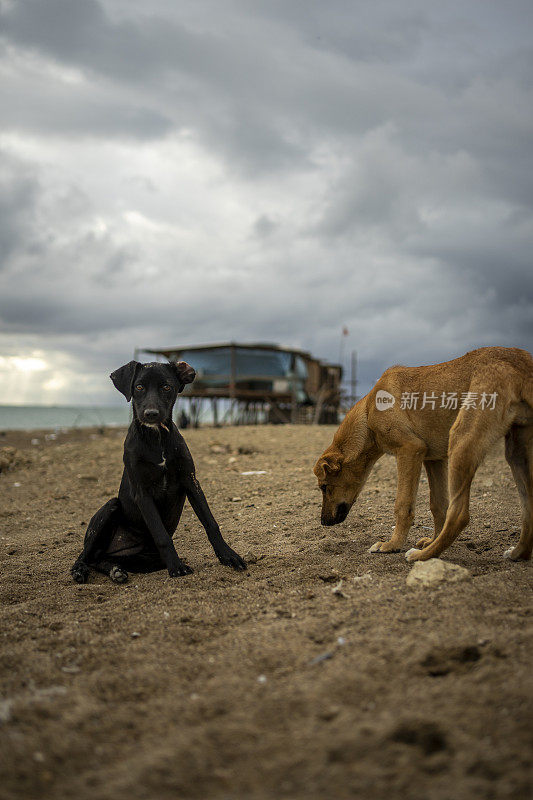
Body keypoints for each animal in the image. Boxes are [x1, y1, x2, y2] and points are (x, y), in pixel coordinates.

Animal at [69, 360, 246, 580]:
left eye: (166, 387)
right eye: (139, 387)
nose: (151, 414)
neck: (156, 438)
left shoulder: (191, 481)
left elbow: (210, 523)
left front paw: (228, 555)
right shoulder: (142, 492)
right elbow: (162, 535)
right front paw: (176, 566)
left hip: (143, 560)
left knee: (100, 559)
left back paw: (115, 570)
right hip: (110, 507)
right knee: (86, 554)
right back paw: (80, 569)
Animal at [312, 348, 532, 564]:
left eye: (324, 487)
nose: (323, 522)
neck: (368, 413)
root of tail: (521, 364)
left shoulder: (409, 450)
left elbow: (403, 505)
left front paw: (392, 545)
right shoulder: (434, 460)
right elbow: (438, 506)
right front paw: (433, 540)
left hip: (461, 442)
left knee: (459, 514)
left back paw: (423, 556)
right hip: (515, 452)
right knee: (527, 505)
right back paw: (518, 553)